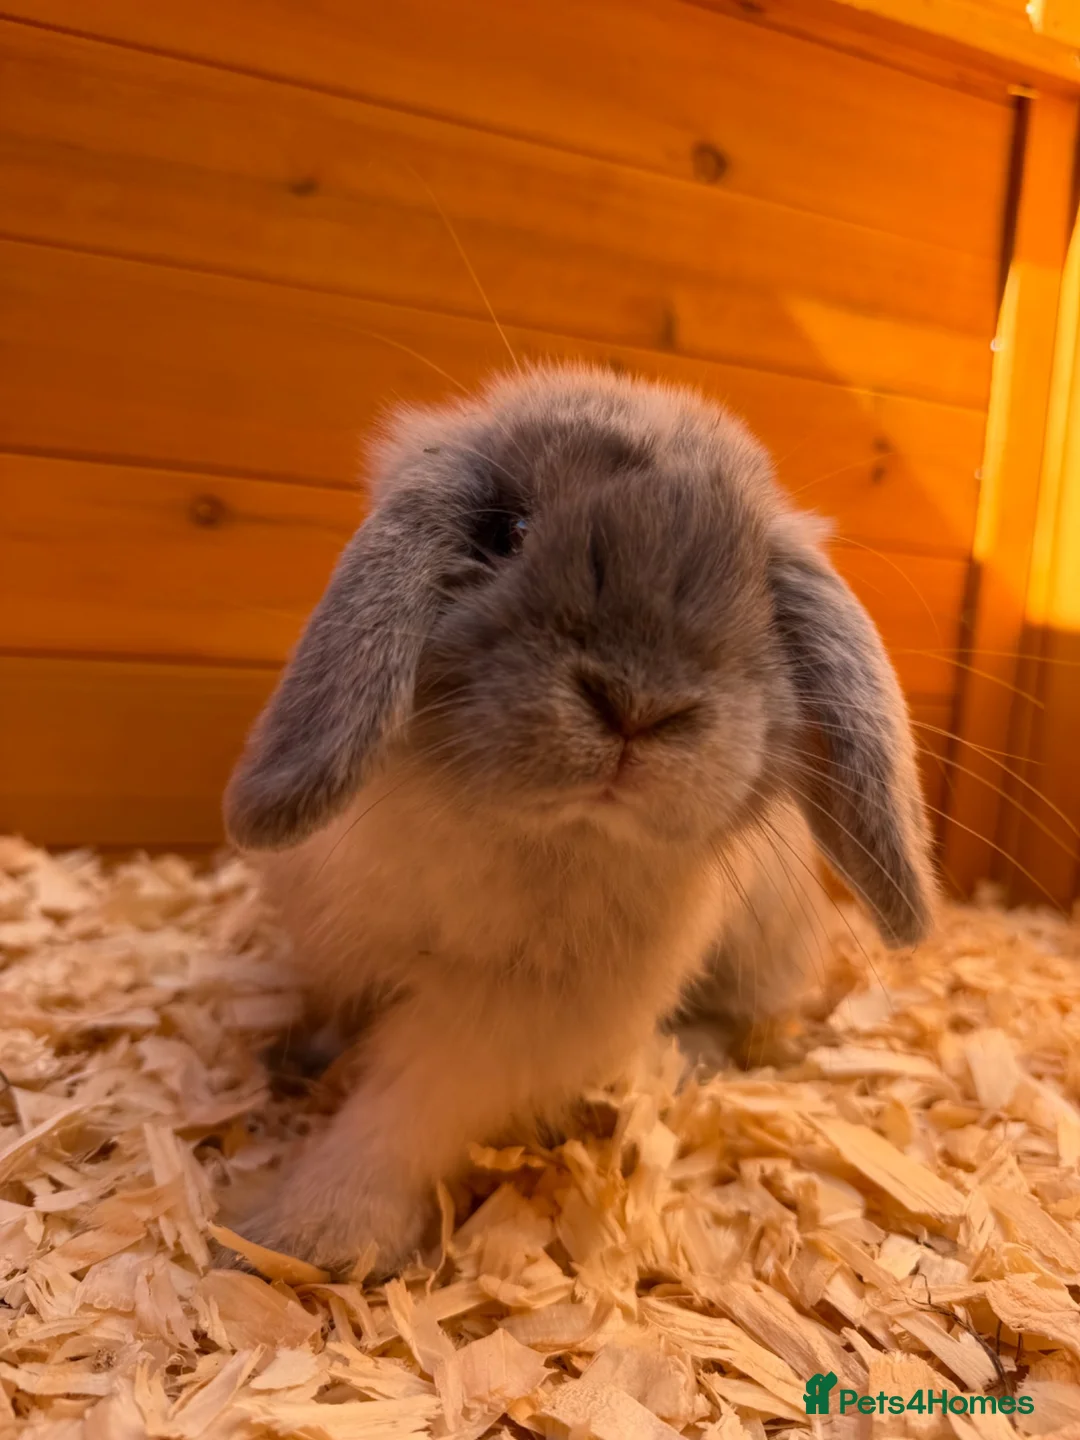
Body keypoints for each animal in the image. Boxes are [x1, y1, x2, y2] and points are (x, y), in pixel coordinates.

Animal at [223, 362, 936, 1275]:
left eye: (762, 594)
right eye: (507, 529)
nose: (639, 706)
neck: (508, 828)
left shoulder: (505, 1024)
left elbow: (401, 1113)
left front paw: (304, 1241)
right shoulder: (336, 948)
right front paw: (294, 1068)